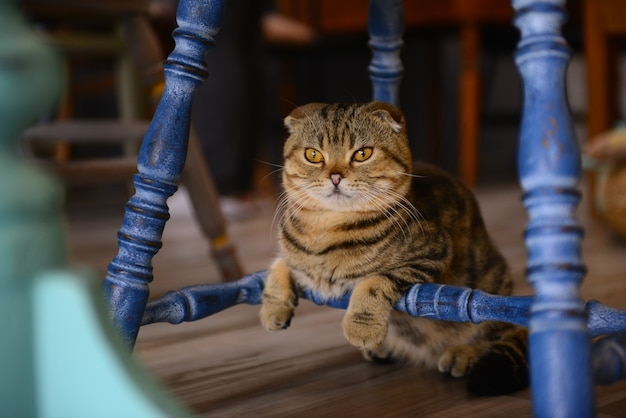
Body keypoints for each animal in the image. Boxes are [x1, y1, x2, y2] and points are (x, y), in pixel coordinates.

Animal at [258, 101, 528, 396]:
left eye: (362, 153)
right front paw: (273, 309)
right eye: (313, 155)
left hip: (489, 289)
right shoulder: (292, 254)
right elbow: (278, 264)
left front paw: (361, 329)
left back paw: (462, 354)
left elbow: (374, 282)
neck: (325, 229)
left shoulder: (433, 250)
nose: (335, 176)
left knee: (495, 331)